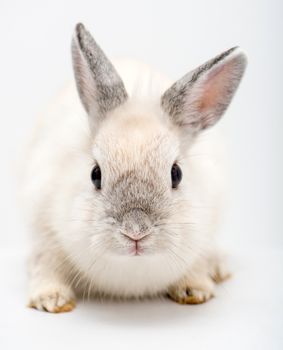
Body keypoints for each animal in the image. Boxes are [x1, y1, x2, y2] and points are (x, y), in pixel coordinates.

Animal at [22, 21, 248, 312]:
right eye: (95, 174)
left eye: (176, 174)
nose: (136, 231)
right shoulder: (44, 230)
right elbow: (44, 264)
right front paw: (51, 299)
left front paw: (196, 289)